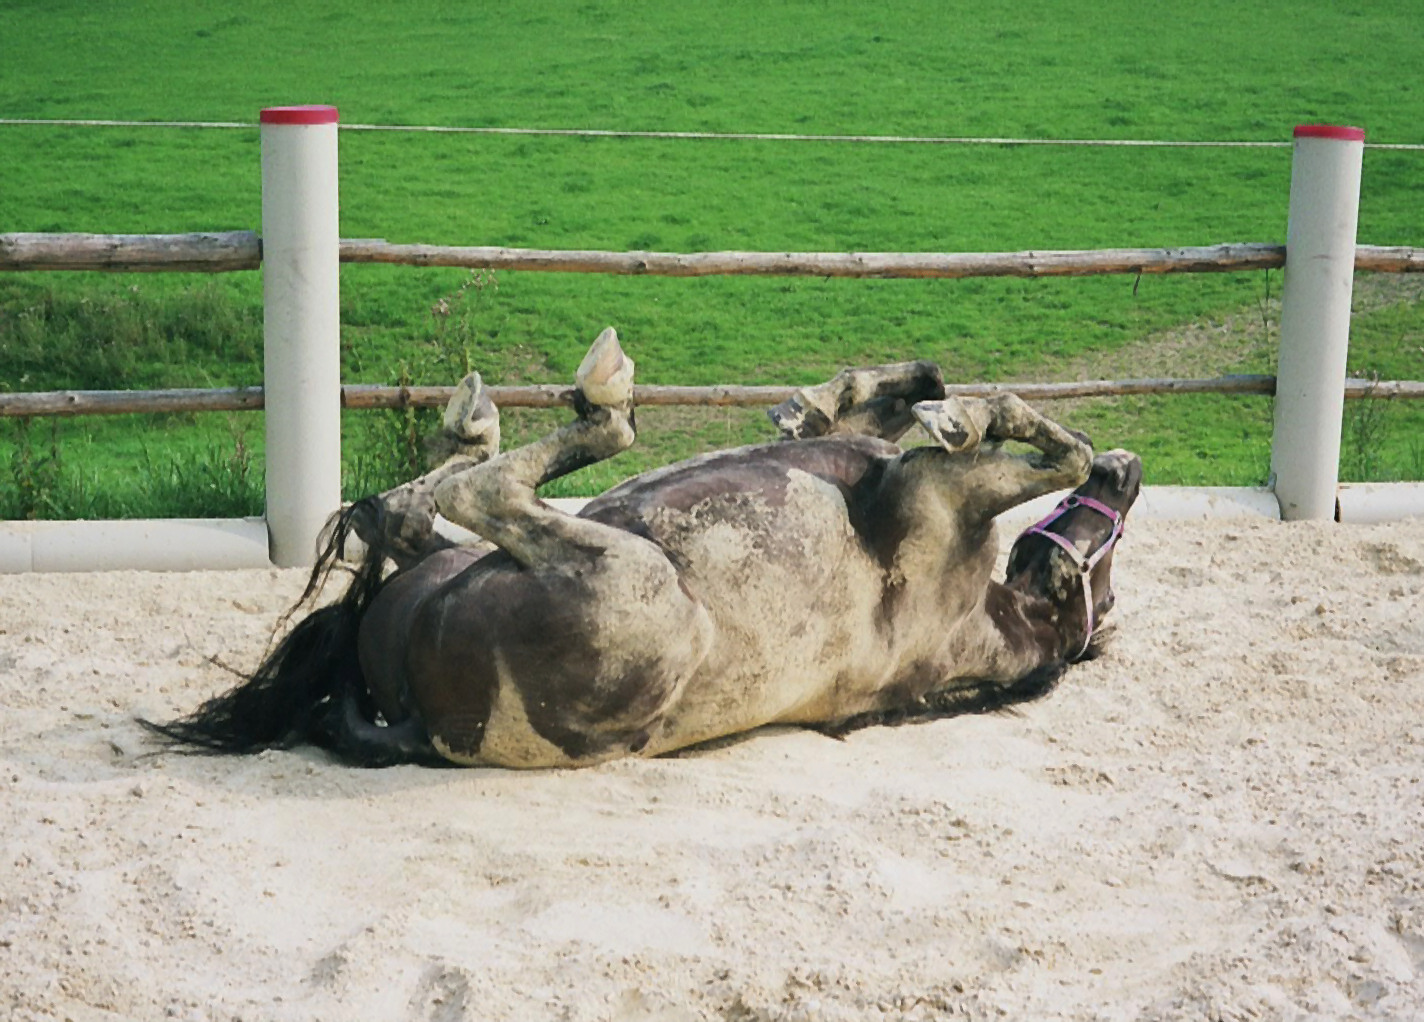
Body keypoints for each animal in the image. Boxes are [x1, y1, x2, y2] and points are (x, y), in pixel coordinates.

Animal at [141, 331, 1144, 774]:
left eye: (1098, 566)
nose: (1130, 477)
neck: (987, 616)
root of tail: (418, 721)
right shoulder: (901, 472)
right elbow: (910, 388)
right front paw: (819, 404)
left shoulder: (938, 492)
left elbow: (1043, 440)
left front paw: (975, 418)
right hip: (471, 563)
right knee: (401, 515)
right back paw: (476, 423)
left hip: (629, 581)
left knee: (464, 498)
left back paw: (585, 402)